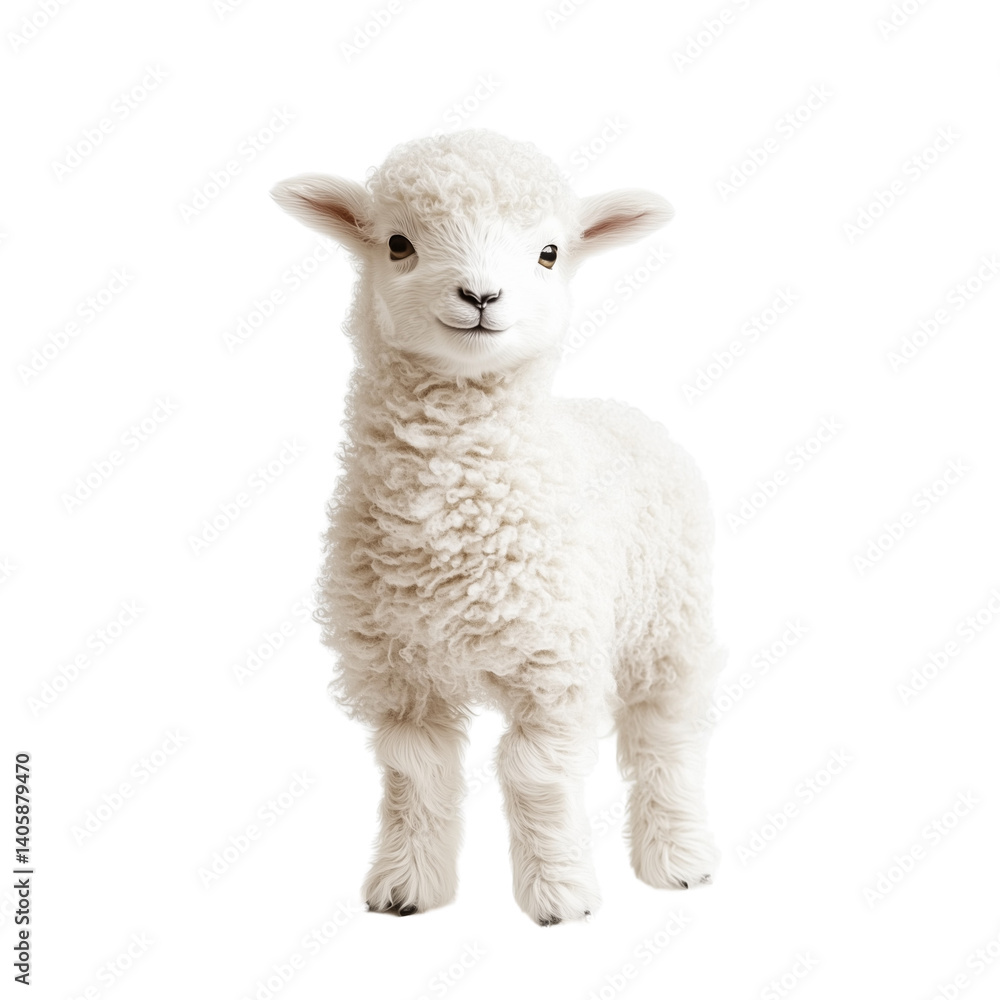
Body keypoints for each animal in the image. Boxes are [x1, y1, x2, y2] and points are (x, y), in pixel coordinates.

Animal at [271, 129, 723, 925]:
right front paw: (406, 888)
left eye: (548, 253)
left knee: (664, 737)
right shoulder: (399, 671)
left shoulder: (553, 663)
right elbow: (415, 774)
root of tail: (615, 407)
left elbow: (535, 773)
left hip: (669, 622)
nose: (481, 296)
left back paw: (677, 860)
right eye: (398, 244)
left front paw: (560, 896)